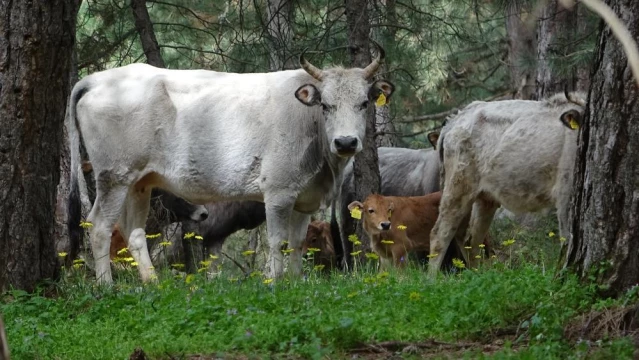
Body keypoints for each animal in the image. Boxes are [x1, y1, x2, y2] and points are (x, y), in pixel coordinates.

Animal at [430, 91, 584, 274]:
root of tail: (454, 121)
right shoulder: (565, 193)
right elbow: (567, 238)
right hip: (457, 188)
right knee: (440, 234)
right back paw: (431, 278)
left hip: (485, 199)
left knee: (471, 239)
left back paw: (476, 274)